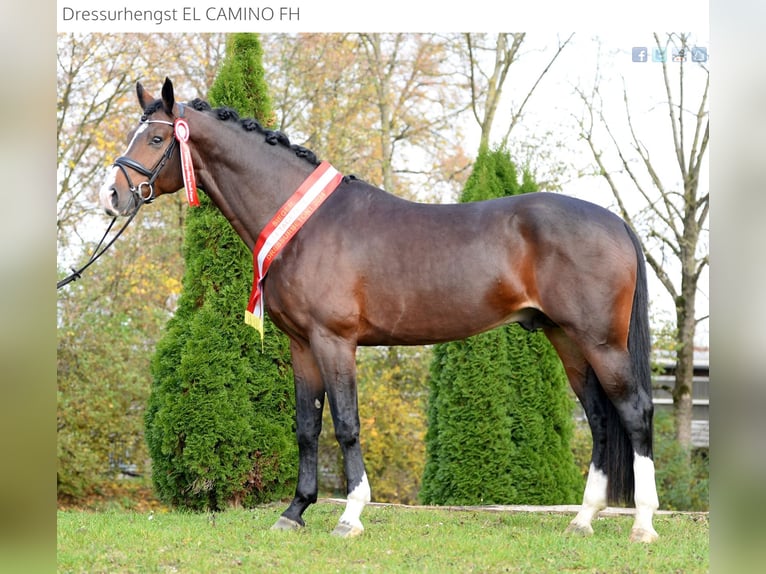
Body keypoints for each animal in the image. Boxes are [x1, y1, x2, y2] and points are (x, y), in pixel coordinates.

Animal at [97, 77, 660, 544]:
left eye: (154, 140)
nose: (113, 197)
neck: (306, 224)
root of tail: (615, 221)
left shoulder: (335, 341)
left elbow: (346, 424)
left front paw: (350, 516)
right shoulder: (302, 345)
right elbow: (307, 426)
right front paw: (294, 512)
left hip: (601, 342)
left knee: (634, 412)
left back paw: (643, 525)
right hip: (566, 339)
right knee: (600, 419)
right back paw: (583, 520)